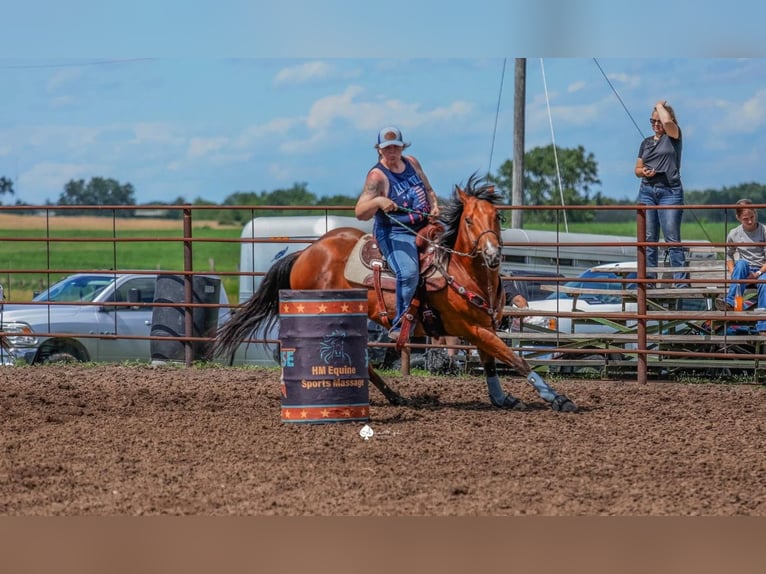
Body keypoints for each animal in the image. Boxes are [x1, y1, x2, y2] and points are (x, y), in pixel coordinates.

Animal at [213, 177, 580, 414]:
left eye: (497, 217)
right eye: (469, 220)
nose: (492, 255)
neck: (461, 271)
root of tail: (306, 253)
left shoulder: (483, 327)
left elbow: (492, 364)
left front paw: (502, 399)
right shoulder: (473, 329)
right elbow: (516, 359)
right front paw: (558, 399)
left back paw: (394, 397)